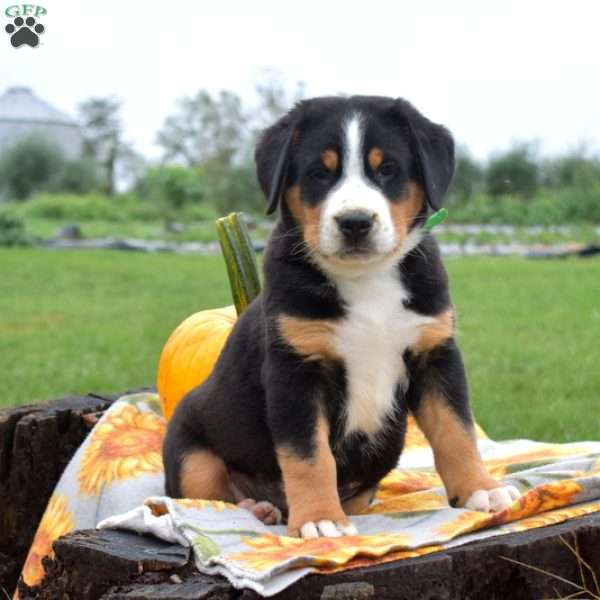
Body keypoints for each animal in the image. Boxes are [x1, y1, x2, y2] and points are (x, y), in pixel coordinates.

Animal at [164, 95, 520, 540]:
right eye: (320, 172)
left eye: (387, 169)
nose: (355, 222)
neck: (366, 280)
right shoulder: (296, 370)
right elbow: (309, 455)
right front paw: (320, 519)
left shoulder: (435, 353)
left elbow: (457, 430)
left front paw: (480, 489)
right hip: (189, 446)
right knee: (204, 495)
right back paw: (259, 507)